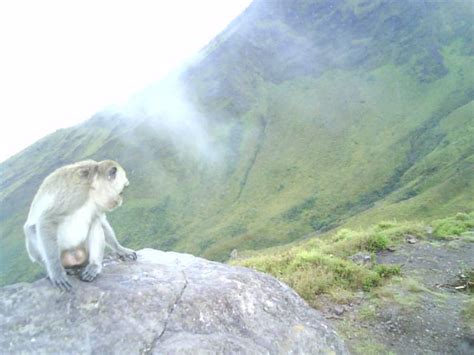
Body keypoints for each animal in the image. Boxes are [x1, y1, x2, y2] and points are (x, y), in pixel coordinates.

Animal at [22, 160, 136, 290]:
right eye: (122, 191)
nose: (119, 200)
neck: (91, 189)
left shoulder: (97, 203)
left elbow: (101, 220)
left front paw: (120, 249)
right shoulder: (75, 193)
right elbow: (47, 220)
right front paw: (56, 271)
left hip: (83, 252)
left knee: (95, 222)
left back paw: (94, 266)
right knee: (31, 229)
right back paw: (62, 270)